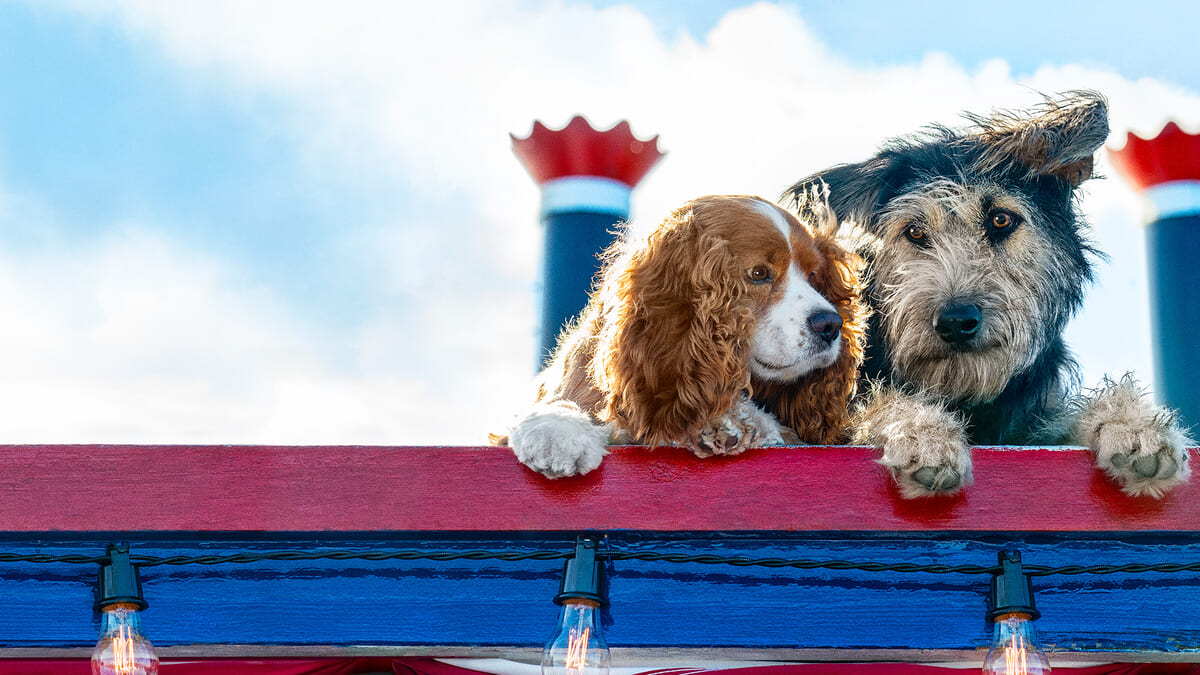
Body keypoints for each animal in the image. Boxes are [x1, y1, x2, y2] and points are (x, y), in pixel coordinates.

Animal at [787, 91, 1190, 497]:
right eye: (915, 231)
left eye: (1001, 219)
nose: (955, 321)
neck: (965, 394)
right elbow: (874, 404)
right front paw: (921, 432)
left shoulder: (1031, 424)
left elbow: (1067, 414)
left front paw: (1133, 424)